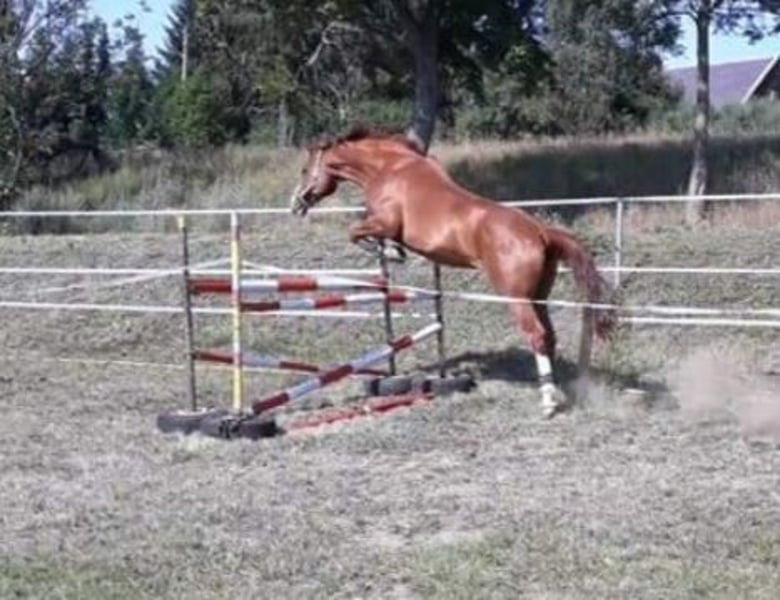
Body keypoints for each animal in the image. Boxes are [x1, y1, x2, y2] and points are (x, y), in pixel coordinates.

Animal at [289, 125, 614, 417]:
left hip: (517, 298)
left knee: (536, 335)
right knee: (549, 337)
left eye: (305, 170)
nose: (296, 205)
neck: (389, 168)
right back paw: (559, 391)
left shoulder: (384, 223)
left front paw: (390, 253)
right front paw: (393, 252)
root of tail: (540, 231)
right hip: (539, 297)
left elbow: (355, 232)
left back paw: (547, 402)